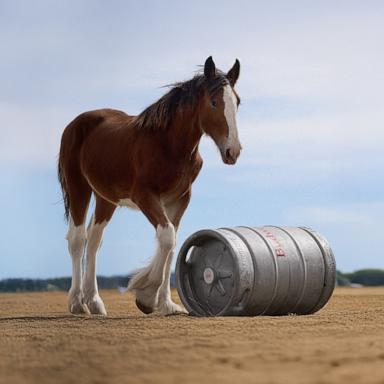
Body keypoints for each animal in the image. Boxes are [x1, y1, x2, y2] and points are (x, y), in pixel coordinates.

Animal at [57, 57, 240, 316]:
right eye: (214, 102)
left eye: (238, 102)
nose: (233, 151)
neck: (168, 145)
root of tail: (74, 124)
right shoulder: (144, 196)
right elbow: (167, 237)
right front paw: (146, 294)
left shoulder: (179, 199)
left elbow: (172, 245)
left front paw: (166, 304)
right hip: (78, 187)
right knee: (78, 239)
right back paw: (77, 303)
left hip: (106, 198)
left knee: (94, 240)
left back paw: (94, 301)